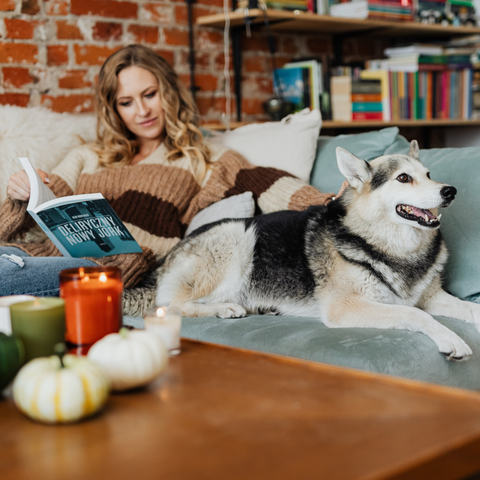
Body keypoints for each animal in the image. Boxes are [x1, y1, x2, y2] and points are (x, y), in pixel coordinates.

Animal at [156, 142, 478, 360]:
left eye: (429, 174)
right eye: (403, 178)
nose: (450, 191)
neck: (393, 245)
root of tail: (170, 254)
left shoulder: (431, 297)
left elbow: (469, 308)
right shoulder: (346, 307)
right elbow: (415, 315)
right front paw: (452, 340)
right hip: (239, 236)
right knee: (173, 306)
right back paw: (225, 308)